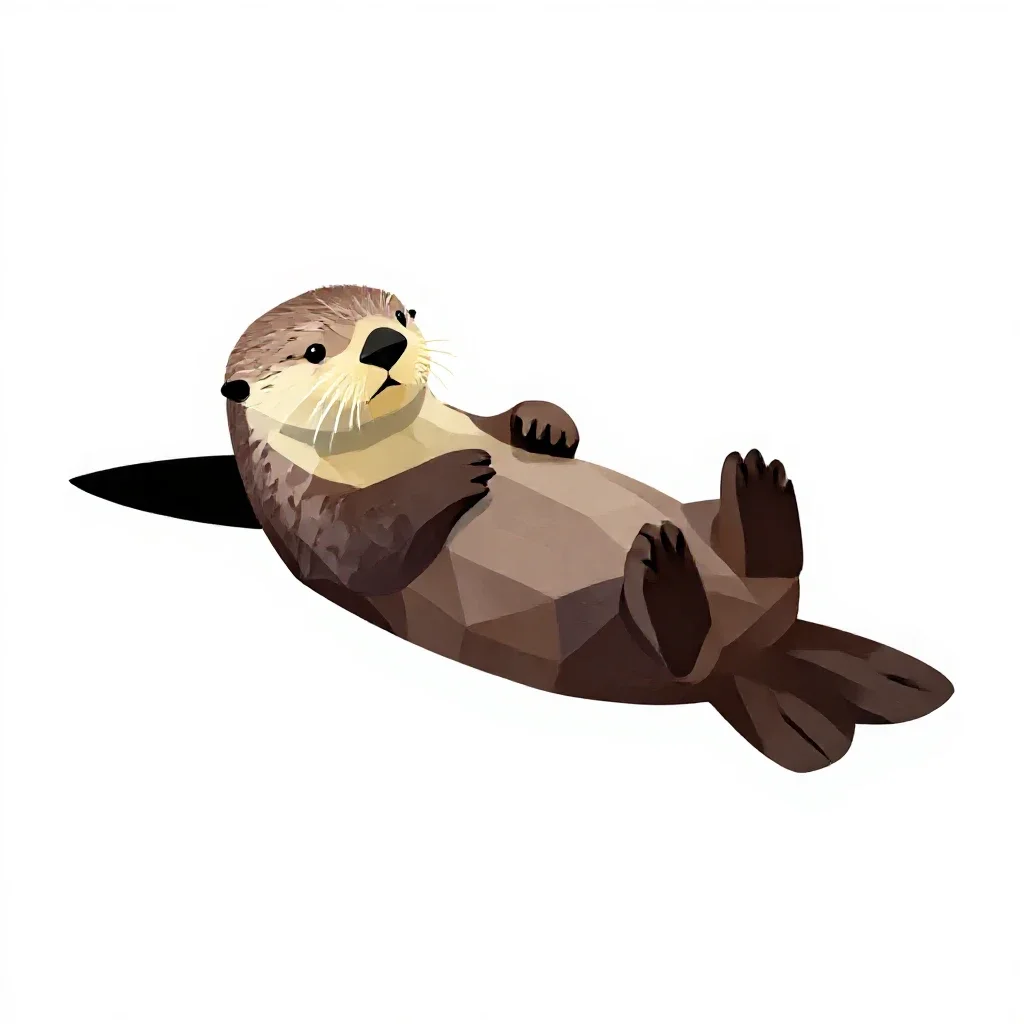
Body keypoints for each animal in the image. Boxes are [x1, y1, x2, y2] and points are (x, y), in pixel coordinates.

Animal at [222, 284, 952, 772]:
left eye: (401, 314)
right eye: (315, 351)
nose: (385, 344)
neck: (402, 444)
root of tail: (761, 652)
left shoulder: (466, 417)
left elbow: (503, 418)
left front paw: (543, 426)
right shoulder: (308, 516)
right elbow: (366, 546)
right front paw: (458, 472)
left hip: (700, 525)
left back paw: (755, 492)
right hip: (598, 637)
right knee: (682, 656)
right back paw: (670, 566)